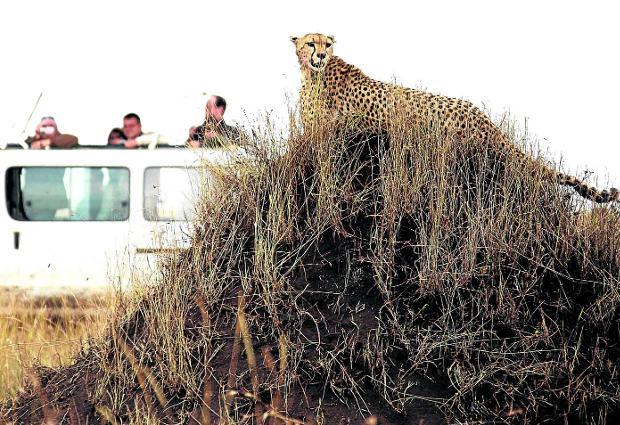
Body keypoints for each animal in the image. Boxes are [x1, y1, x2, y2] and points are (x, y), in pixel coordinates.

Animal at [292, 33, 620, 202]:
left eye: (327, 44)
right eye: (311, 43)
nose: (321, 54)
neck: (314, 73)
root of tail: (487, 121)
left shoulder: (328, 135)